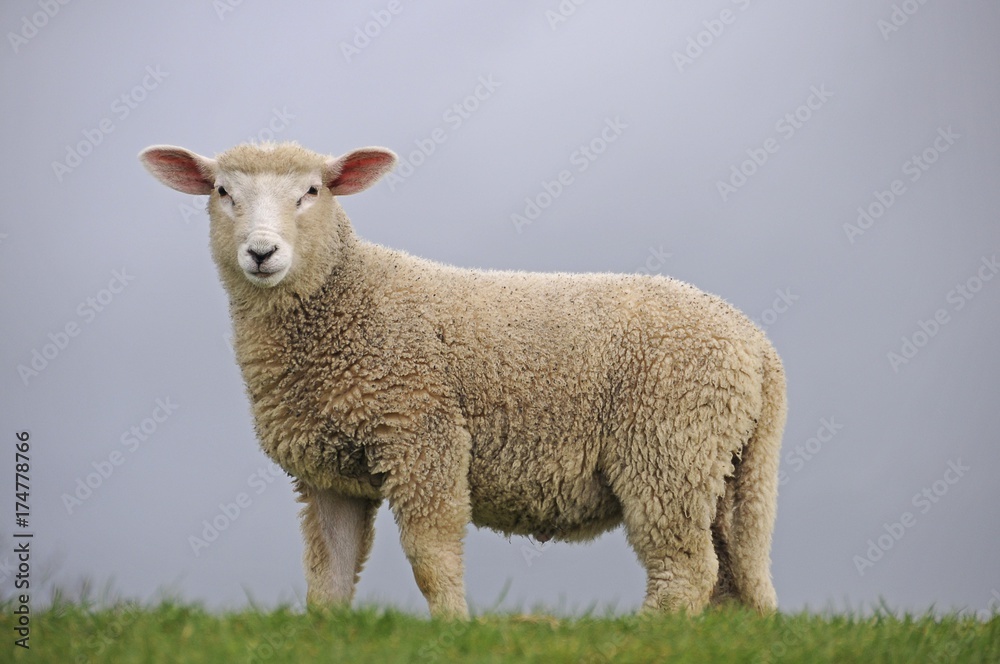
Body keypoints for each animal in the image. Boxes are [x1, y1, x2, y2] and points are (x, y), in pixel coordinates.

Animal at [139, 140, 788, 616]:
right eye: (222, 191)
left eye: (312, 192)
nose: (262, 253)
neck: (346, 300)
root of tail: (756, 345)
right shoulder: (329, 473)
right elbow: (329, 576)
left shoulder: (422, 434)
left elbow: (432, 555)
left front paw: (454, 628)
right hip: (732, 466)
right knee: (735, 575)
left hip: (670, 447)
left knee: (686, 570)